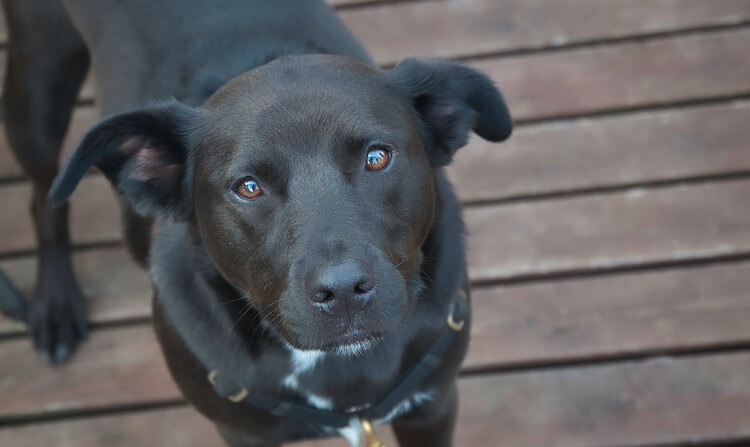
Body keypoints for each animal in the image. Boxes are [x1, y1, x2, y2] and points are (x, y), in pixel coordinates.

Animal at [10, 0, 512, 444]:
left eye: (377, 157)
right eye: (248, 187)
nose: (344, 292)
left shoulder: (432, 407)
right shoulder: (241, 433)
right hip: (37, 91)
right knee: (44, 199)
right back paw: (56, 305)